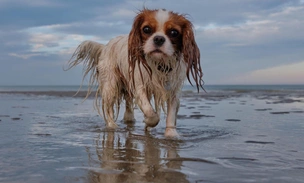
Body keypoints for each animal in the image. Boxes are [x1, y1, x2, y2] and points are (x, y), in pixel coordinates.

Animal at [66, 8, 204, 137]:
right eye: (146, 29)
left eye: (174, 32)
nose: (159, 39)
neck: (159, 63)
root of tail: (105, 46)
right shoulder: (140, 87)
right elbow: (151, 113)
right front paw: (148, 122)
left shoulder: (173, 90)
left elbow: (171, 115)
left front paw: (171, 135)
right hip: (111, 85)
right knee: (109, 109)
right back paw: (112, 126)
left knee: (128, 103)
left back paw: (129, 119)